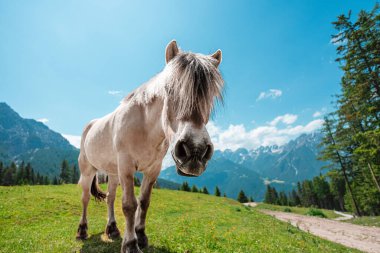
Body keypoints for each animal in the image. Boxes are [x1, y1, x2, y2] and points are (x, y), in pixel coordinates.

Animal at [77, 40, 224, 252]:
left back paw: (112, 229)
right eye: (169, 89)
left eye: (210, 96)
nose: (195, 150)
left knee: (110, 197)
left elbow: (144, 202)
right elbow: (129, 205)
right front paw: (131, 244)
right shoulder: (127, 166)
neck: (145, 127)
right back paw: (82, 231)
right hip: (88, 170)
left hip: (113, 172)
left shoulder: (153, 169)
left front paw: (140, 236)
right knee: (85, 198)